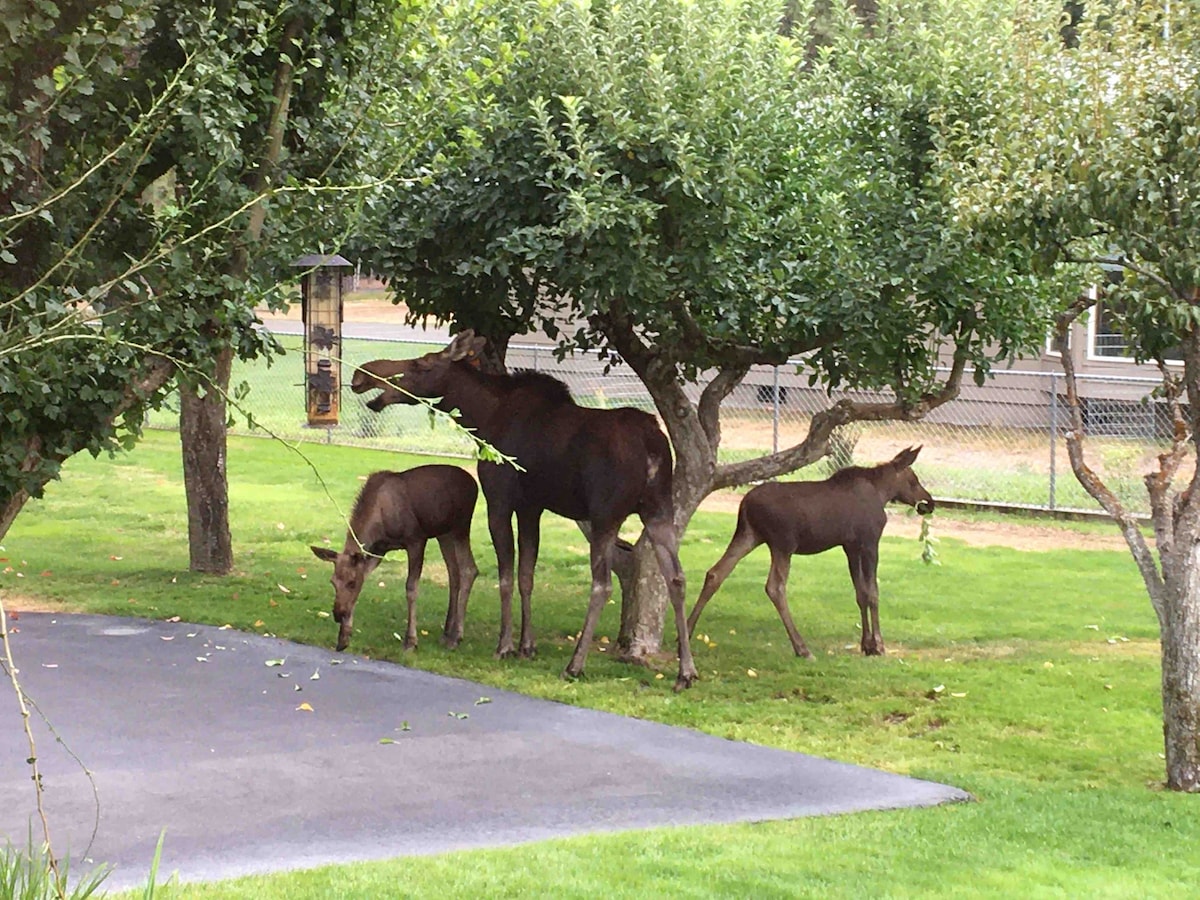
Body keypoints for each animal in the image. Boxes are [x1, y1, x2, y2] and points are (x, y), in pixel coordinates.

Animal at [312, 465, 475, 657]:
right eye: (332, 582)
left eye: (351, 583)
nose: (338, 614)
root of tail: (474, 485)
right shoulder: (379, 550)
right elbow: (364, 579)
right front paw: (344, 637)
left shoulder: (416, 539)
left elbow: (411, 588)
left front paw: (410, 641)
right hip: (444, 533)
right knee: (454, 574)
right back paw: (447, 633)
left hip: (461, 526)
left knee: (469, 570)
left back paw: (456, 636)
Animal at [350, 331, 700, 691]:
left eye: (422, 364)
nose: (362, 376)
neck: (481, 419)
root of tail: (653, 445)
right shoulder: (532, 508)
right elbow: (526, 575)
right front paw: (526, 646)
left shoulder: (499, 502)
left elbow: (505, 576)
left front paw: (504, 645)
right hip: (659, 510)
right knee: (676, 578)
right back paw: (685, 672)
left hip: (606, 514)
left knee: (602, 584)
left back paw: (575, 664)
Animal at [691, 448, 931, 657]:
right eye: (913, 479)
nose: (929, 502)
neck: (882, 492)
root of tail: (744, 505)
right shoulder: (870, 541)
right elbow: (873, 593)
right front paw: (878, 645)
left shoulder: (850, 546)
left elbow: (860, 593)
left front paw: (866, 645)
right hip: (782, 543)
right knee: (775, 587)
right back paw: (802, 648)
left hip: (749, 536)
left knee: (715, 573)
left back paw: (688, 628)